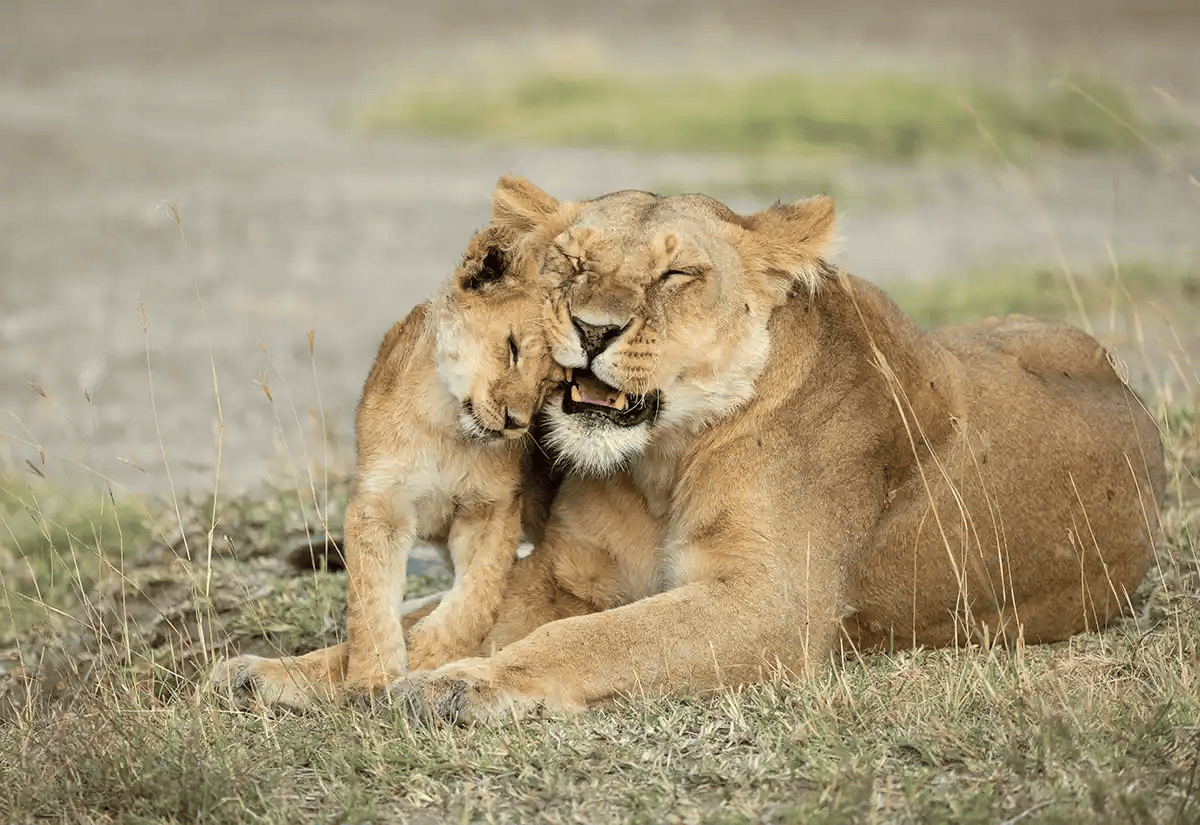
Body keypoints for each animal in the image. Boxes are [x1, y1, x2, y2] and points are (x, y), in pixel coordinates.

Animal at [209, 185, 579, 707]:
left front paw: (428, 651)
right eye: (511, 349)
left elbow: (479, 595)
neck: (448, 426)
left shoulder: (493, 508)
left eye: (552, 384)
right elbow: (369, 600)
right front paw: (371, 680)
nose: (515, 423)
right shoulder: (380, 505)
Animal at [386, 177, 1166, 724]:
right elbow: (436, 620)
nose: (591, 327)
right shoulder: (566, 575)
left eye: (676, 275)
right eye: (570, 262)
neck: (663, 460)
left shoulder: (772, 604)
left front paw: (464, 684)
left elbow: (592, 639)